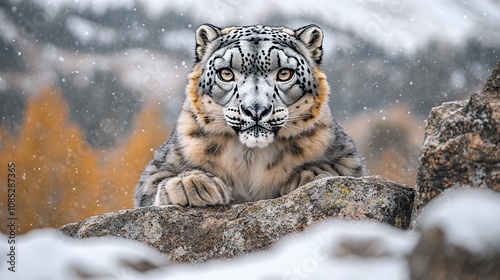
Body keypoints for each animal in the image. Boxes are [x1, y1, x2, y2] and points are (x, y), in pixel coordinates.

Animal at [133, 24, 368, 208]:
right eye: (226, 73)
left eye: (284, 73)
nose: (256, 109)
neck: (251, 157)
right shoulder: (161, 163)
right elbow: (155, 180)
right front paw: (189, 183)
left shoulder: (348, 157)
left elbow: (344, 169)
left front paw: (311, 175)